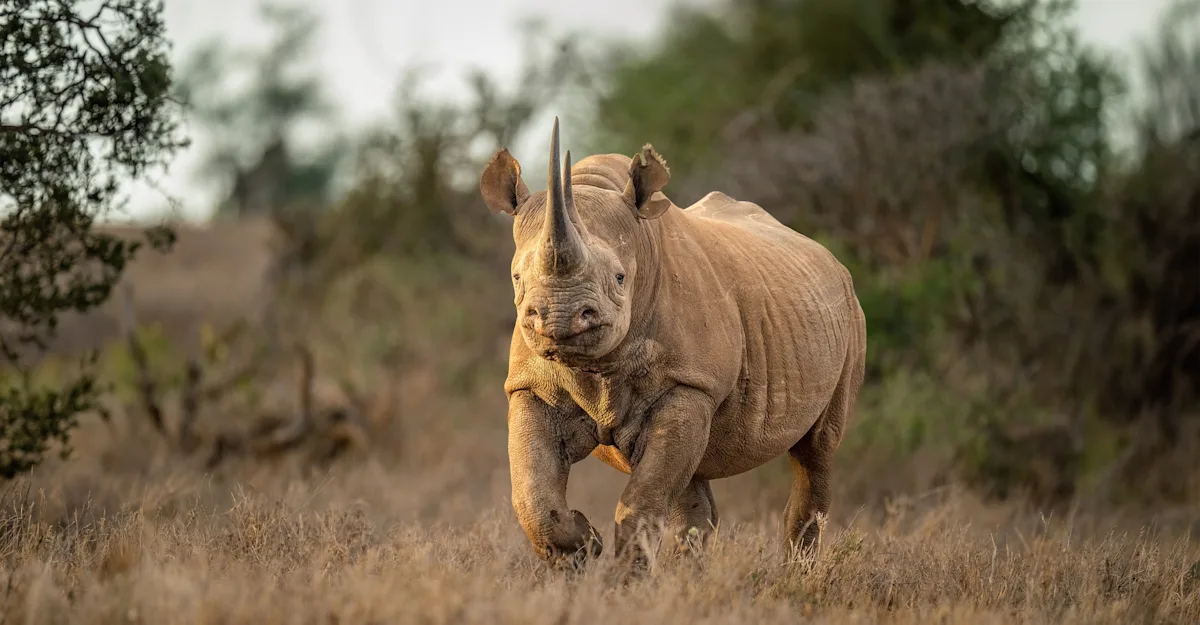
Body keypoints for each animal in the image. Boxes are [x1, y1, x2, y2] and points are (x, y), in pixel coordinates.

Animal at [479, 118, 867, 569]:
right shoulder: (531, 386)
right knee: (692, 484)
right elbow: (532, 495)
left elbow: (643, 499)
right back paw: (689, 574)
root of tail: (828, 258)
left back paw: (795, 573)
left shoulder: (689, 383)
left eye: (620, 278)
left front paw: (625, 578)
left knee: (816, 450)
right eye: (517, 279)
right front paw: (582, 549)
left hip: (848, 314)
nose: (559, 317)